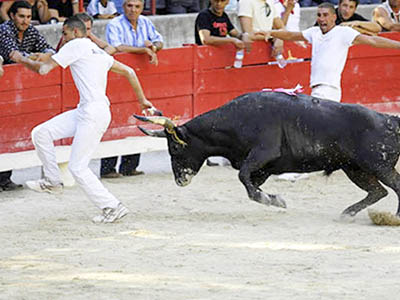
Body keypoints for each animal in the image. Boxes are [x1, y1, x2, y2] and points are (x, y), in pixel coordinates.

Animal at [135, 91, 400, 218]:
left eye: (175, 148)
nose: (180, 180)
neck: (236, 120)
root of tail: (390, 119)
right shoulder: (262, 168)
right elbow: (249, 183)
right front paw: (274, 199)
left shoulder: (263, 153)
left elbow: (244, 178)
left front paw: (272, 199)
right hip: (355, 168)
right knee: (378, 191)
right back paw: (347, 213)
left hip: (379, 166)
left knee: (394, 186)